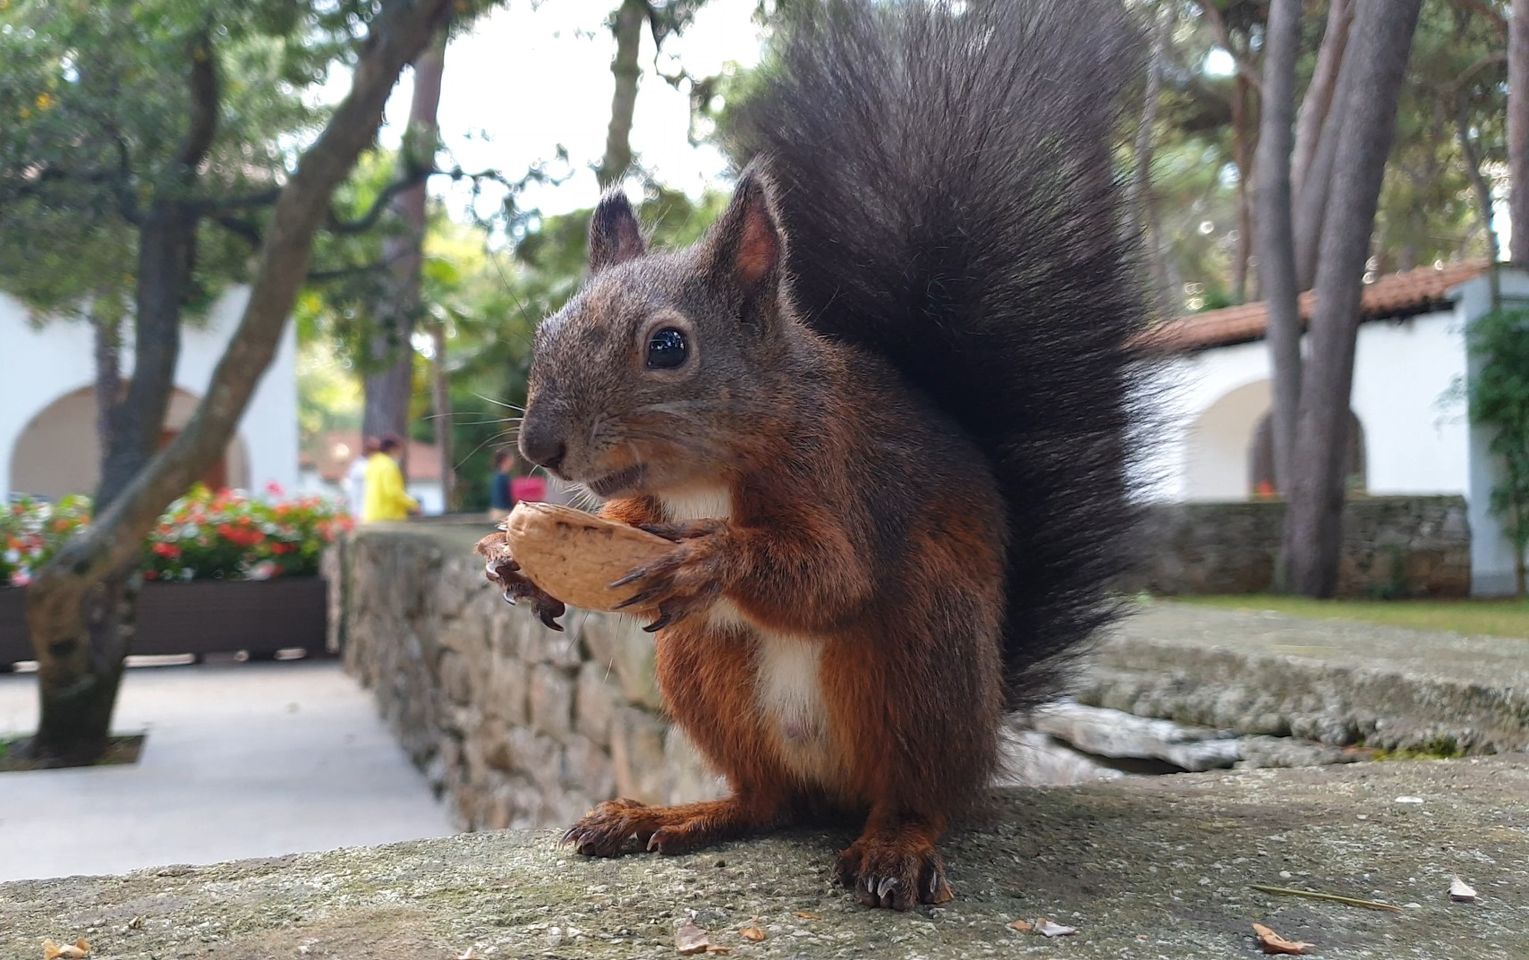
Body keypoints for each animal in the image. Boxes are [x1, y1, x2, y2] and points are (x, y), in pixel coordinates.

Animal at [483, 0, 1143, 904]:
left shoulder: (836, 470)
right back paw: (673, 816)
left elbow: (833, 576)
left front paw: (713, 560)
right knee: (768, 801)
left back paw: (894, 845)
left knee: (917, 793)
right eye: (546, 330)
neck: (704, 481)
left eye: (667, 347)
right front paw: (513, 565)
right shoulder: (642, 507)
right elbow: (618, 522)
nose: (540, 445)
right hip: (702, 665)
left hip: (923, 656)